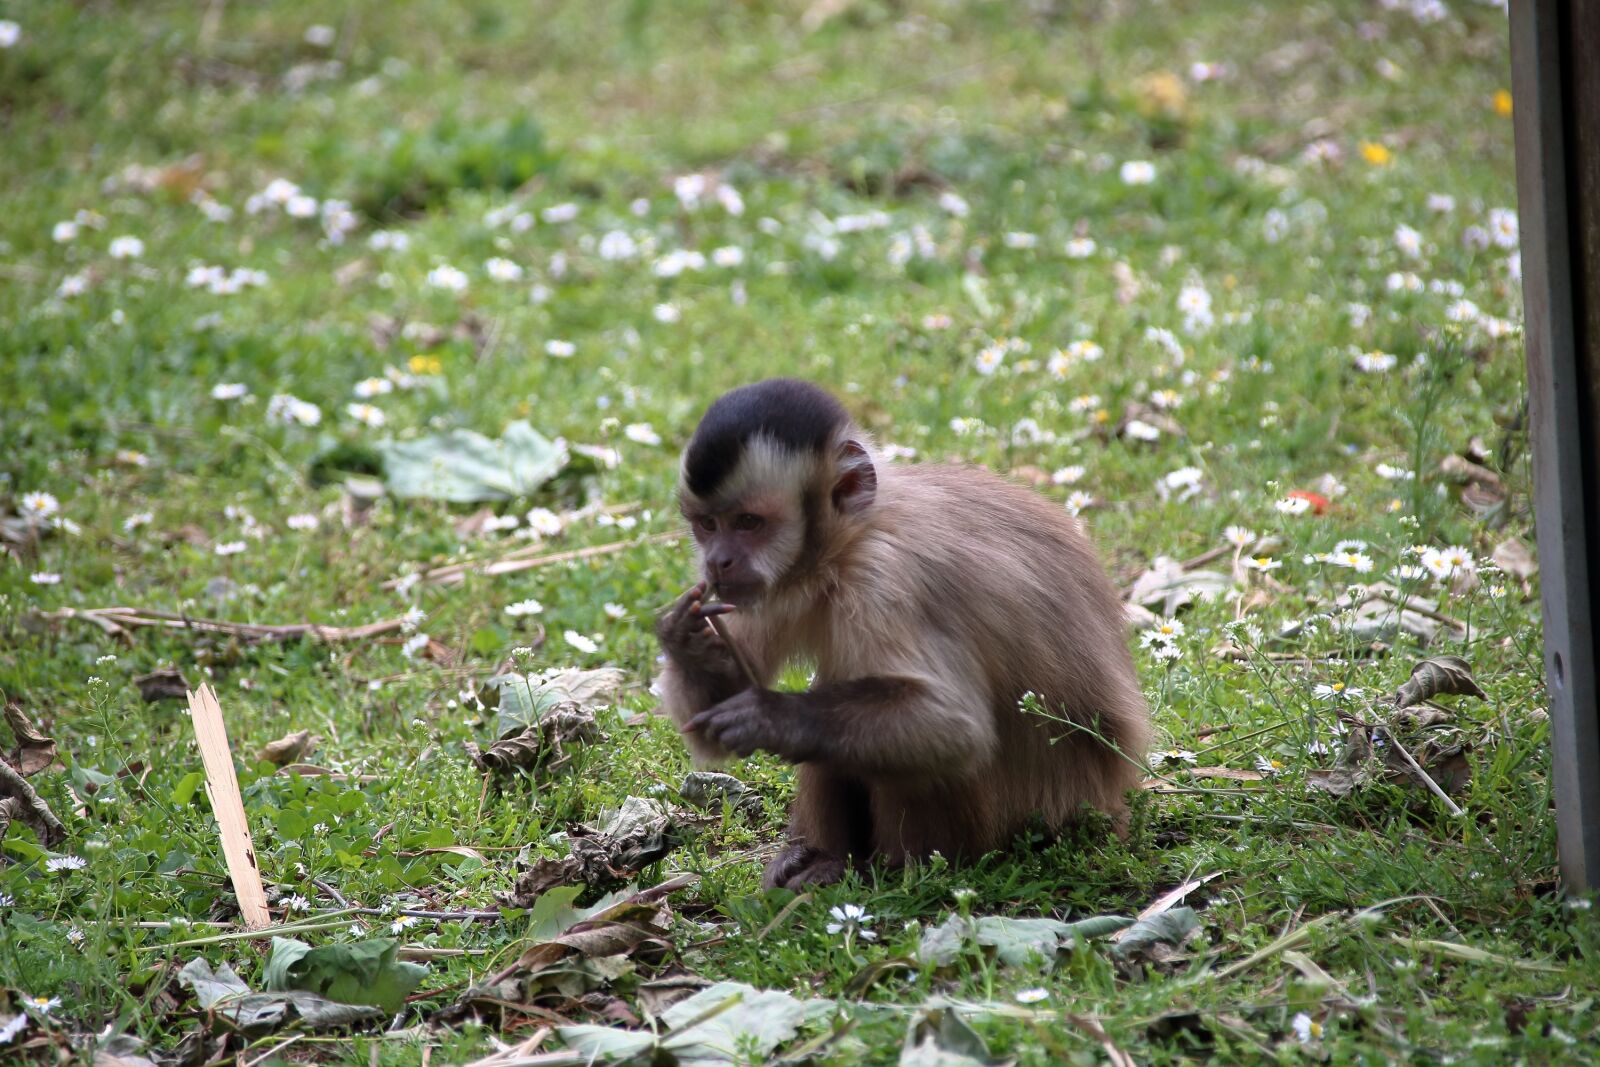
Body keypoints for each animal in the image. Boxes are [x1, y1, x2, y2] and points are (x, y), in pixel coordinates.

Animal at [654, 378, 1150, 890]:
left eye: (749, 523)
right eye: (707, 525)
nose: (718, 561)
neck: (850, 541)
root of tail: (1114, 803)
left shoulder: (886, 576)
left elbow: (956, 727)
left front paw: (769, 715)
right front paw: (692, 648)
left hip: (1039, 805)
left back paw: (889, 869)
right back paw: (821, 856)